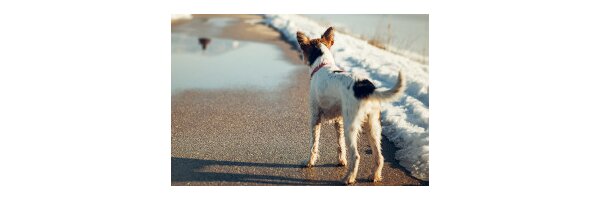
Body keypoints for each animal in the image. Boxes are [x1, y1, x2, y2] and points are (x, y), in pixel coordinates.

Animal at [298, 27, 406, 185]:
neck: (323, 64)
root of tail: (365, 87)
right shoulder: (339, 121)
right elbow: (340, 144)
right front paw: (341, 161)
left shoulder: (315, 117)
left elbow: (314, 144)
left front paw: (309, 162)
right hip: (373, 126)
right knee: (379, 157)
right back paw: (374, 176)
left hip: (351, 126)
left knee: (356, 156)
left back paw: (349, 178)